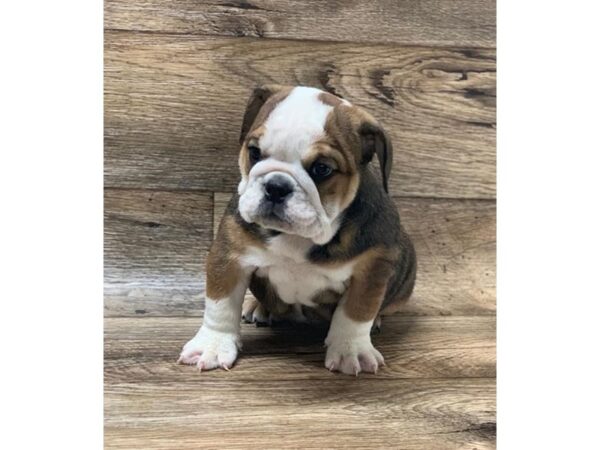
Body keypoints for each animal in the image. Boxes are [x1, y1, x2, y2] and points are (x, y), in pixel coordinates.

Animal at [178, 86, 418, 374]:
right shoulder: (229, 255)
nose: (276, 186)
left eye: (322, 169)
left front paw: (351, 351)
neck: (298, 236)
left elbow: (356, 311)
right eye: (254, 152)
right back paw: (259, 307)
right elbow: (221, 304)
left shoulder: (372, 266)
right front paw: (213, 345)